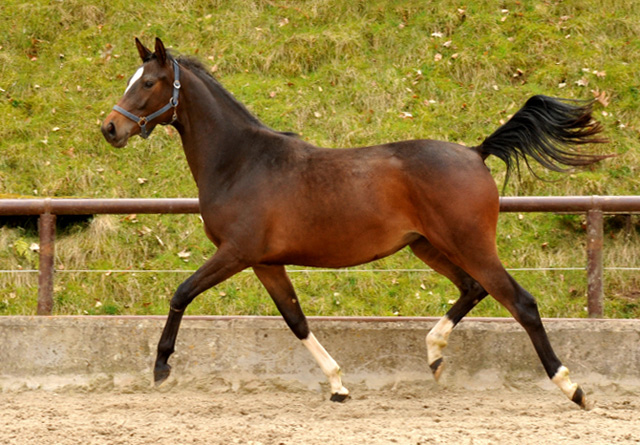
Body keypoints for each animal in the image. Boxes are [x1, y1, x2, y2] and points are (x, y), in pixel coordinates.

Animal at [101, 39, 608, 410]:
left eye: (148, 83)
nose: (110, 129)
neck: (242, 162)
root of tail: (475, 152)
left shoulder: (235, 253)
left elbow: (181, 292)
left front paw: (161, 368)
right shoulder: (265, 263)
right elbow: (296, 320)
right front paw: (338, 385)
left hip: (470, 245)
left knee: (520, 303)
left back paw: (573, 389)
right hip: (429, 246)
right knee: (473, 288)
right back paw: (435, 355)